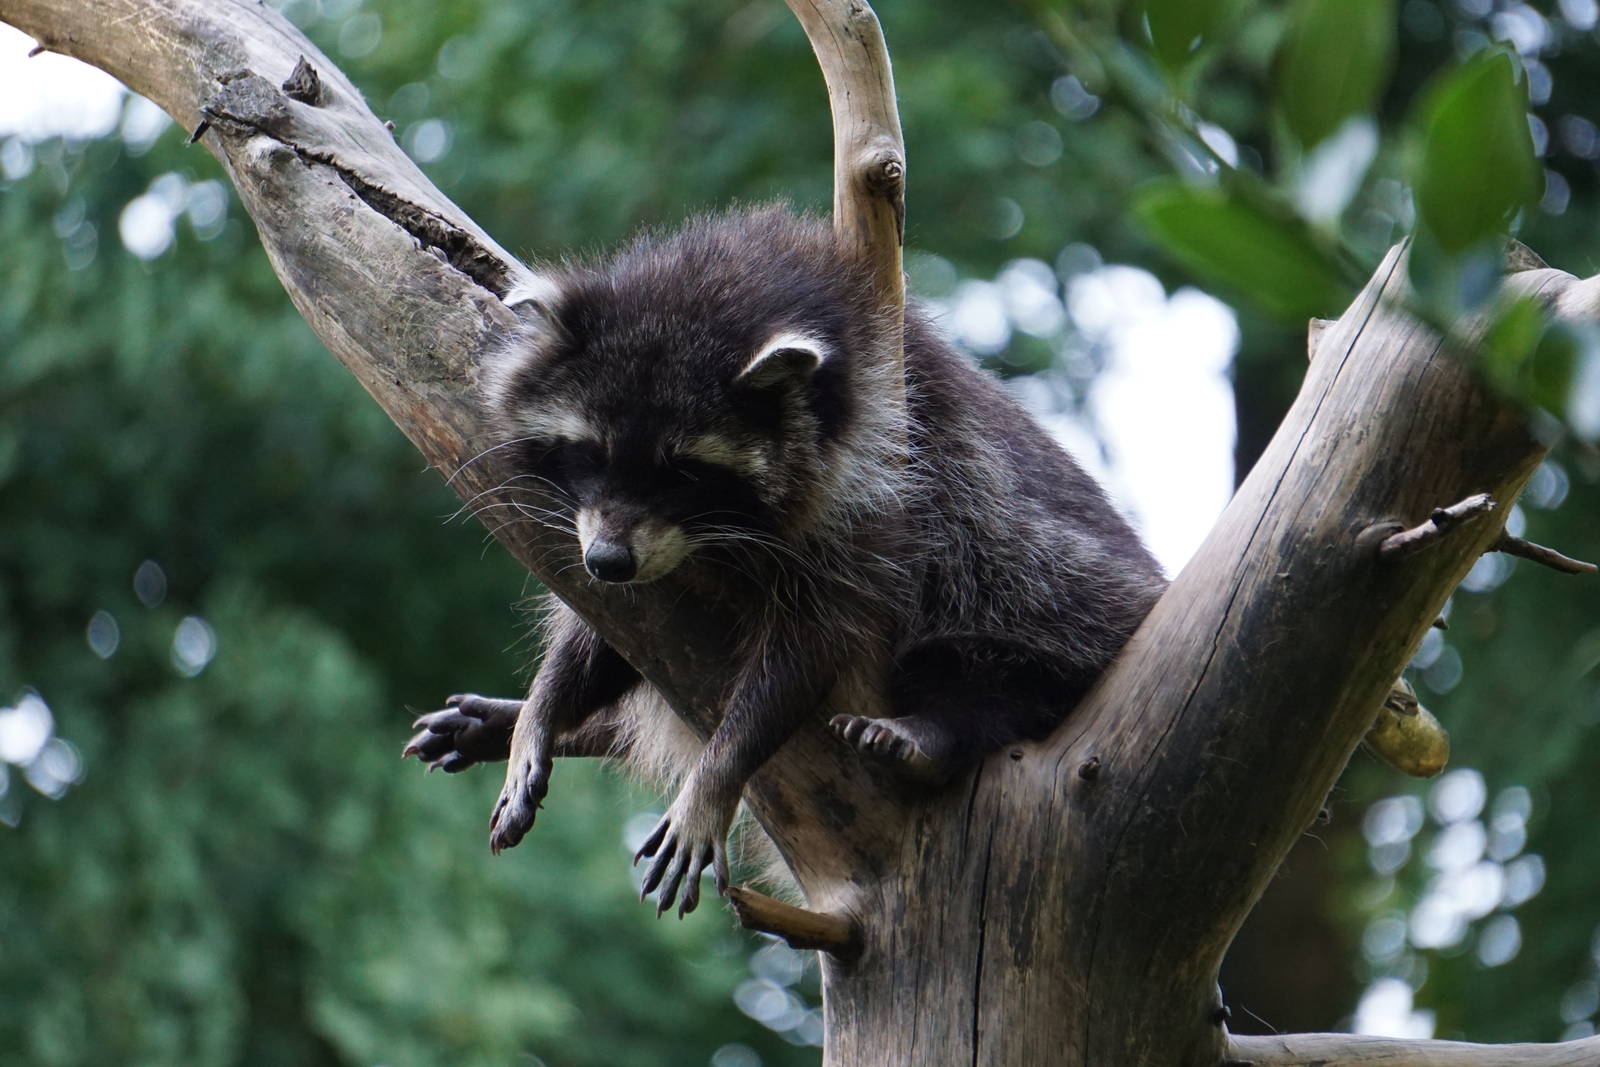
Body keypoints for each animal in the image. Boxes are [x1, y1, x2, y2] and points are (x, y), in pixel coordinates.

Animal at [403, 207, 1167, 917]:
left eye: (684, 471)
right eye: (592, 451)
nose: (610, 561)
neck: (723, 285)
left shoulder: (878, 489)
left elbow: (807, 653)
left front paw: (717, 775)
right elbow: (603, 637)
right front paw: (542, 709)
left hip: (1060, 584)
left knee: (997, 622)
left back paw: (942, 726)